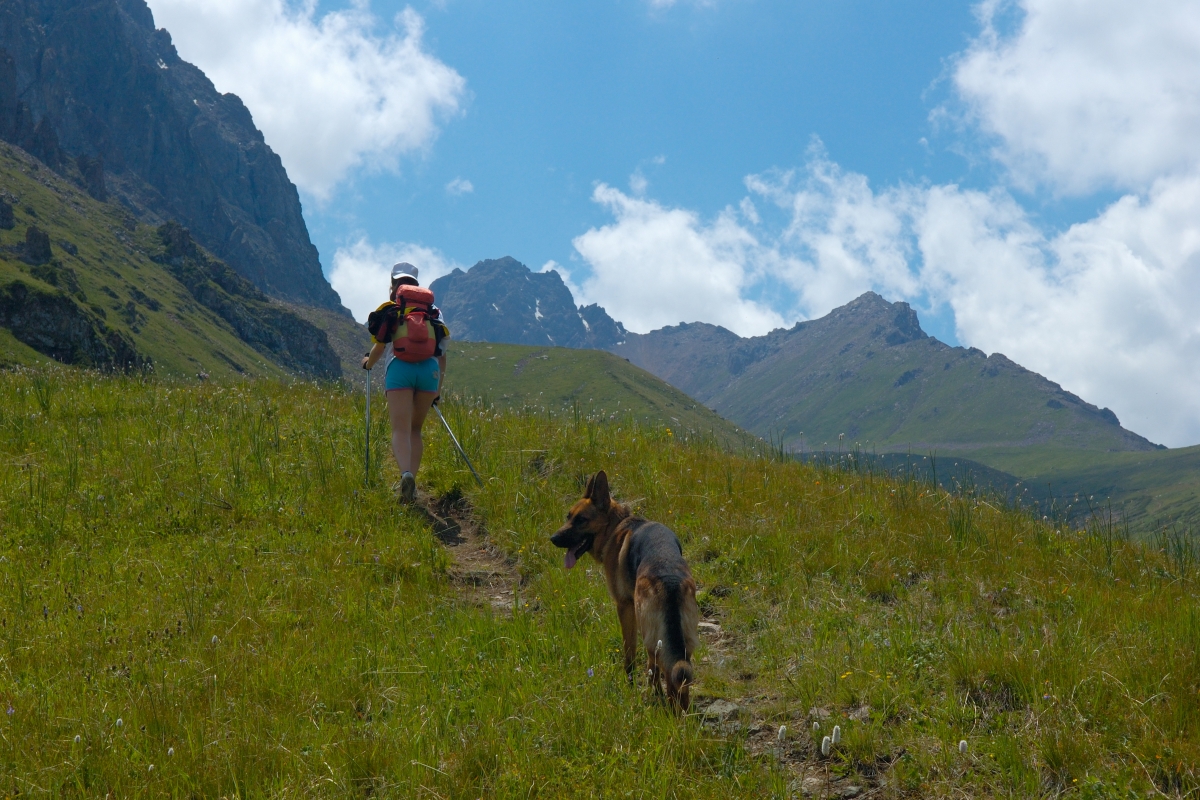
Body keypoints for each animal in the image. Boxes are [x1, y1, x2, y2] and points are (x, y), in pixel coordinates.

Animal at [549, 472, 700, 710]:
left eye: (581, 520)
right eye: (568, 516)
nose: (553, 539)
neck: (615, 526)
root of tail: (670, 580)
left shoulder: (625, 607)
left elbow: (629, 654)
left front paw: (629, 684)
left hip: (651, 637)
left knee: (659, 669)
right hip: (683, 641)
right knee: (678, 677)